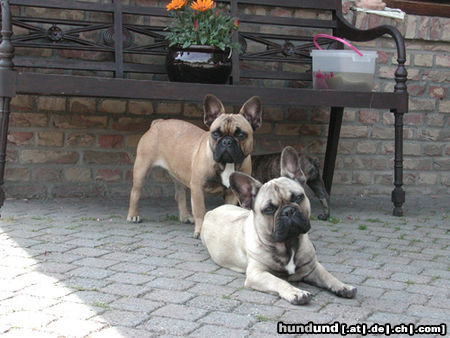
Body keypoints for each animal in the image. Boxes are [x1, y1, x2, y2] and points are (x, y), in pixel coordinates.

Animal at [0, 0, 408, 214]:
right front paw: (200, 229)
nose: (226, 142)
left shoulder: (230, 191)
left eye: (240, 134)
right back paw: (135, 216)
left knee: (179, 194)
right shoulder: (200, 186)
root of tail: (158, 122)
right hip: (141, 170)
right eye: (215, 134)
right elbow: (201, 209)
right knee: (138, 193)